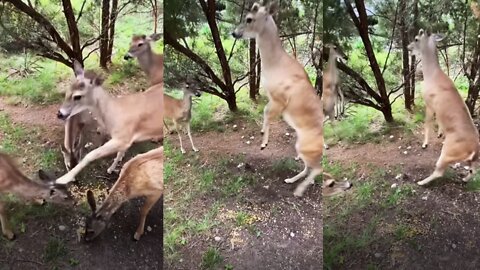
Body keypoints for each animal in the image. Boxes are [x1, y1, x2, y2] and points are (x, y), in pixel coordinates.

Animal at [233, 1, 334, 196]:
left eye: (249, 19)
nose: (234, 33)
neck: (275, 64)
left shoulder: (280, 99)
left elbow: (266, 113)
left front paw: (263, 143)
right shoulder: (271, 97)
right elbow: (265, 111)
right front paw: (263, 136)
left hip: (306, 145)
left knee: (316, 168)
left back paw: (299, 190)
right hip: (302, 146)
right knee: (310, 167)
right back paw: (291, 180)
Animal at [408, 29, 480, 186]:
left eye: (416, 38)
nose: (408, 48)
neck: (431, 75)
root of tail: (474, 149)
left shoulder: (429, 103)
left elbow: (427, 123)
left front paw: (425, 143)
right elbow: (439, 121)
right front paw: (440, 133)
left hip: (448, 151)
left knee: (439, 171)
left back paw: (421, 182)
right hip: (469, 159)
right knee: (474, 171)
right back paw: (464, 178)